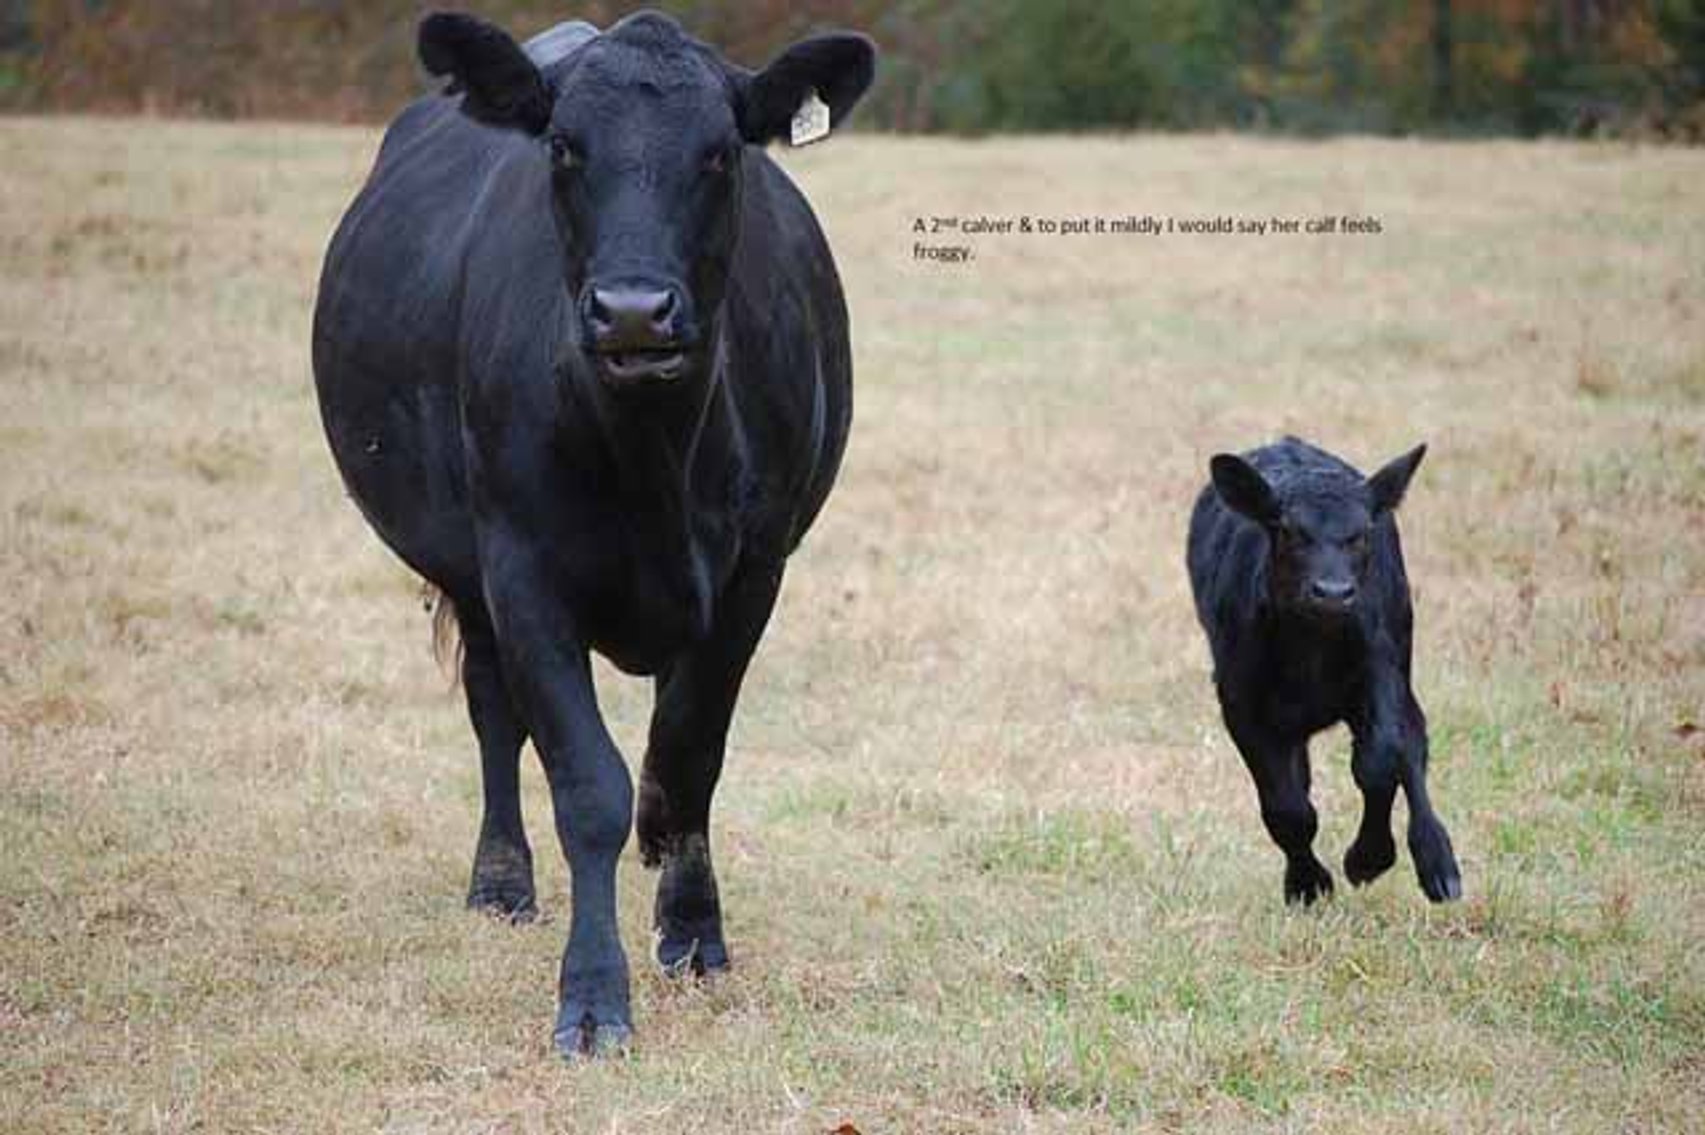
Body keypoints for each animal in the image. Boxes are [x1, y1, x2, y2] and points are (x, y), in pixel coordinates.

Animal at [311, 10, 875, 1056]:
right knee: (496, 716)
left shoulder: (754, 568)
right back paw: (501, 881)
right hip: (467, 570)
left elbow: (688, 755)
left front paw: (692, 930)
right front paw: (592, 994)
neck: (653, 458)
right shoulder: (521, 569)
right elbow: (586, 783)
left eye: (720, 151)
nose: (633, 311)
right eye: (564, 148)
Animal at [1185, 437, 1462, 906]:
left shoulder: (1380, 667)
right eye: (1286, 530)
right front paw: (1308, 884)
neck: (1310, 650)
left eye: (1362, 533)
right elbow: (1288, 808)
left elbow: (1379, 761)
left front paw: (1368, 858)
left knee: (1412, 741)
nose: (1332, 593)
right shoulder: (1240, 704)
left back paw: (1439, 867)